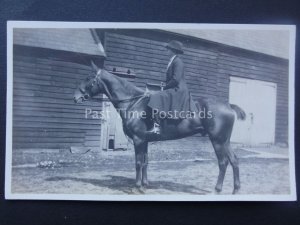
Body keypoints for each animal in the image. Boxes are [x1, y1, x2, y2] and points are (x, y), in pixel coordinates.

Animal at [73, 66, 246, 194]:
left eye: (89, 78)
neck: (133, 103)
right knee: (234, 160)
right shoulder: (145, 141)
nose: (75, 97)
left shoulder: (138, 140)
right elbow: (145, 162)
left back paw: (217, 190)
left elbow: (138, 162)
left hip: (217, 140)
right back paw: (236, 190)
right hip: (224, 141)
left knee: (223, 163)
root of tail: (228, 106)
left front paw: (137, 187)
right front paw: (145, 184)